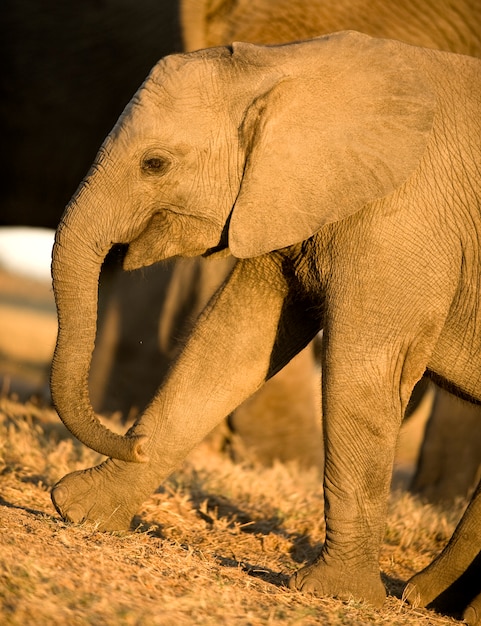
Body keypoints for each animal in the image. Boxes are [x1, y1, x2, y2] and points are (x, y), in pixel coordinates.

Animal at [48, 33, 480, 620]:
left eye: (154, 164)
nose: (131, 442)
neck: (283, 66)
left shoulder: (406, 218)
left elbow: (364, 373)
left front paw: (336, 595)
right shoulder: (282, 198)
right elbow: (232, 343)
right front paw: (80, 511)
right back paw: (430, 600)